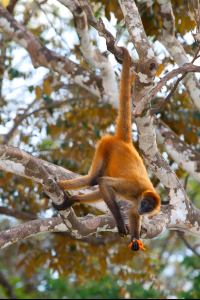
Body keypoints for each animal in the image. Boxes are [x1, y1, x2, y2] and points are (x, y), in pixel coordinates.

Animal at [46, 47, 160, 252]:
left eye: (147, 208)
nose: (143, 208)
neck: (144, 191)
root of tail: (125, 143)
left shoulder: (136, 200)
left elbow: (133, 213)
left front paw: (135, 238)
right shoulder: (135, 189)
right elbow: (104, 183)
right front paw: (120, 223)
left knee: (97, 185)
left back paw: (72, 200)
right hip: (105, 146)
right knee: (94, 179)